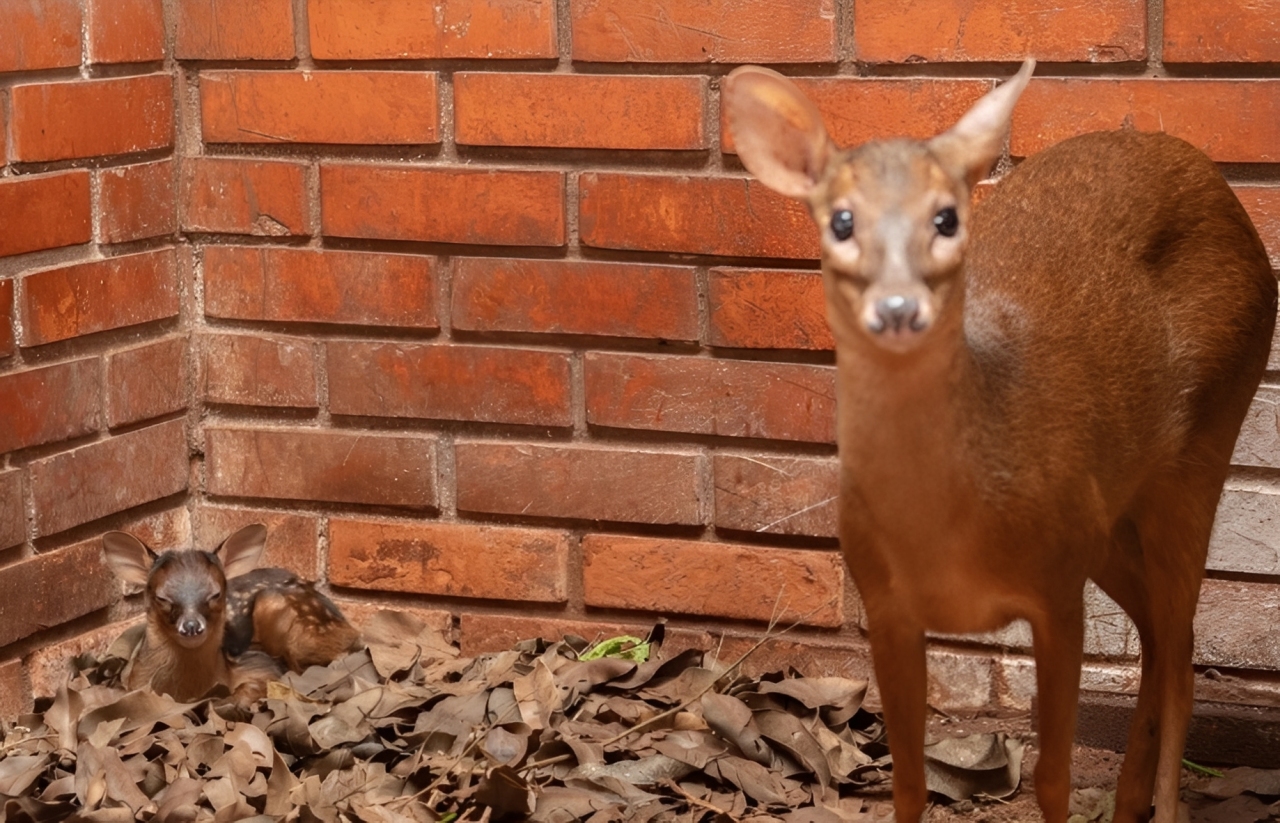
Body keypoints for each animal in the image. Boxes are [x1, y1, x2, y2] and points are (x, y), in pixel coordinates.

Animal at [723, 59, 1276, 823]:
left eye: (946, 216)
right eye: (841, 219)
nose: (899, 307)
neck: (949, 532)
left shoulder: (1056, 590)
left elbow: (1051, 775)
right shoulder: (886, 602)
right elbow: (907, 779)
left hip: (1203, 442)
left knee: (1181, 647)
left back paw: (1161, 805)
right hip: (1107, 517)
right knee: (1160, 635)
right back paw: (1127, 800)